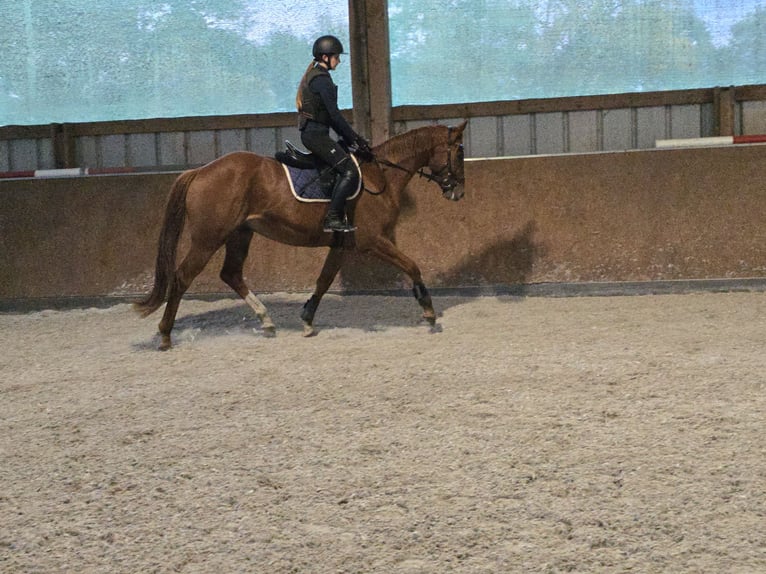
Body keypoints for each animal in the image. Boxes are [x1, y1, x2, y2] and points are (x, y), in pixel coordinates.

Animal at [134, 120, 468, 352]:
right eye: (459, 152)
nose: (459, 192)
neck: (380, 176)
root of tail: (200, 171)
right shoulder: (372, 241)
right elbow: (412, 265)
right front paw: (429, 311)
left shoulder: (343, 245)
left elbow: (323, 280)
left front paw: (307, 320)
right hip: (208, 239)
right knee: (182, 277)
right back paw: (165, 335)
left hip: (239, 234)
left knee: (231, 274)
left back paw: (266, 321)